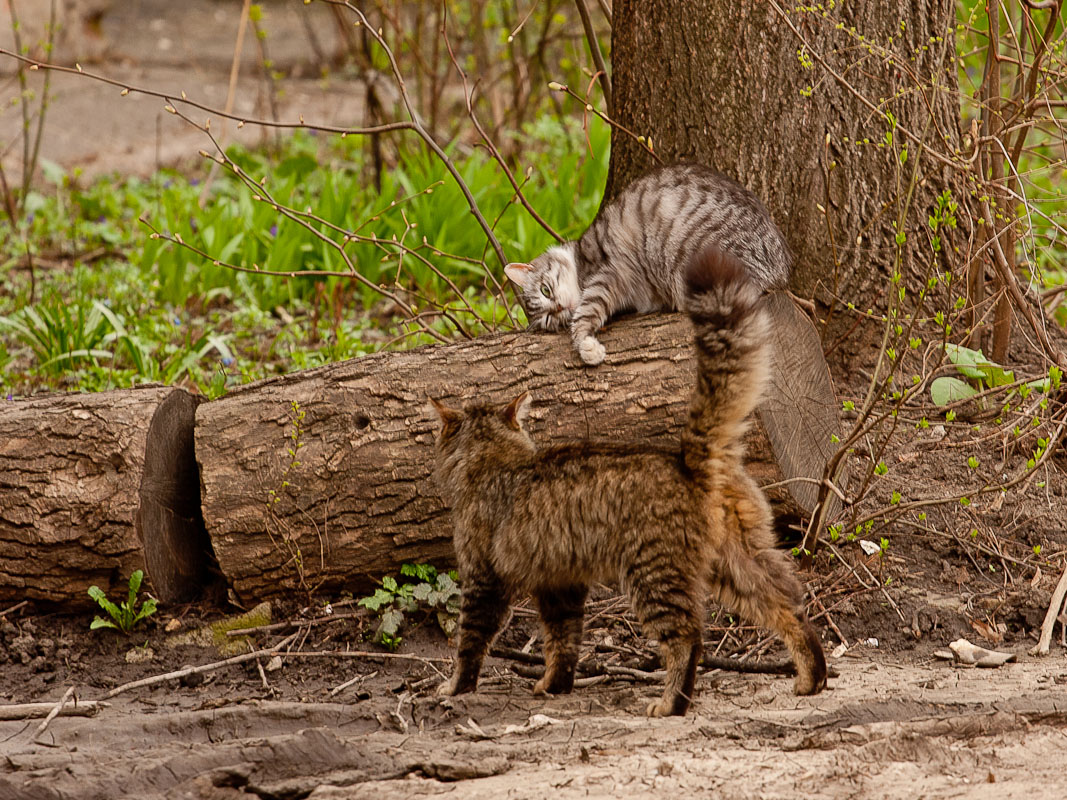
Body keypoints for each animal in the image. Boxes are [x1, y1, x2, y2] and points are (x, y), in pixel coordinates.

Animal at [426, 247, 823, 716]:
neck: (495, 459)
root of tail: (689, 459)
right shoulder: (560, 584)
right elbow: (563, 640)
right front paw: (555, 684)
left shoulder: (483, 577)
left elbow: (471, 641)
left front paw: (455, 687)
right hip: (741, 562)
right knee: (790, 605)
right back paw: (812, 677)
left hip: (654, 574)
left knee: (689, 637)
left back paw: (671, 704)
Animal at [507, 166, 793, 366]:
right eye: (548, 318)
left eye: (545, 290)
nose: (559, 307)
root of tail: (780, 268)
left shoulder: (612, 273)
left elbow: (585, 313)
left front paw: (586, 345)